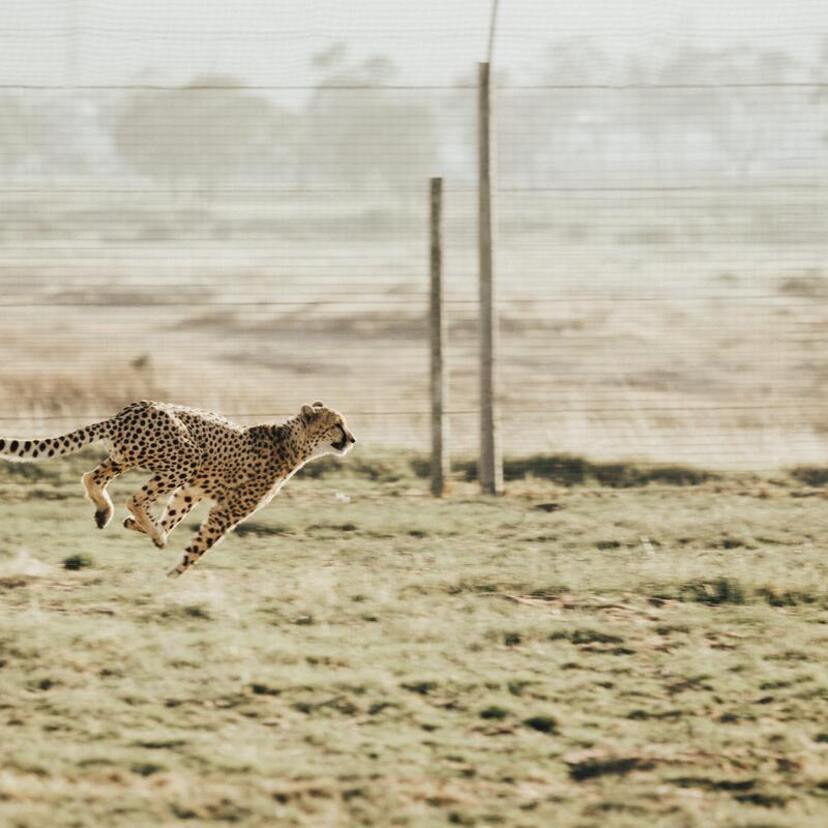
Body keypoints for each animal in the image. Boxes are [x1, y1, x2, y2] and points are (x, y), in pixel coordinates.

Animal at [0, 402, 356, 576]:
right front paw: (175, 571)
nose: (352, 439)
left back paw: (107, 513)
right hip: (185, 456)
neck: (292, 442)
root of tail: (130, 410)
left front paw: (145, 529)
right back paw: (150, 531)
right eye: (337, 424)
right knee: (134, 497)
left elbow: (175, 515)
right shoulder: (227, 509)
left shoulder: (192, 491)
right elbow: (201, 544)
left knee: (92, 477)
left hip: (129, 457)